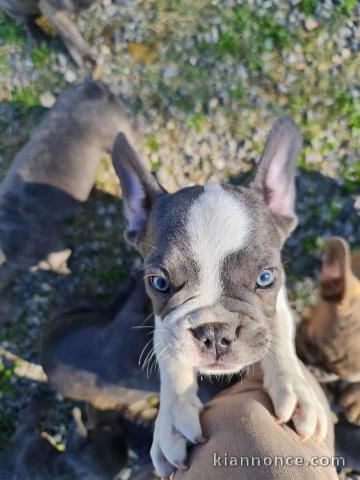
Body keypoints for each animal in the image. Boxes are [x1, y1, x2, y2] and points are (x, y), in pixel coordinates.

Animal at [112, 116, 330, 476]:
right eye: (159, 283)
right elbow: (169, 352)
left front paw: (294, 390)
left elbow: (278, 332)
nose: (215, 331)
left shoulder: (280, 302)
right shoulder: (162, 320)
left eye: (265, 278)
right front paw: (173, 418)